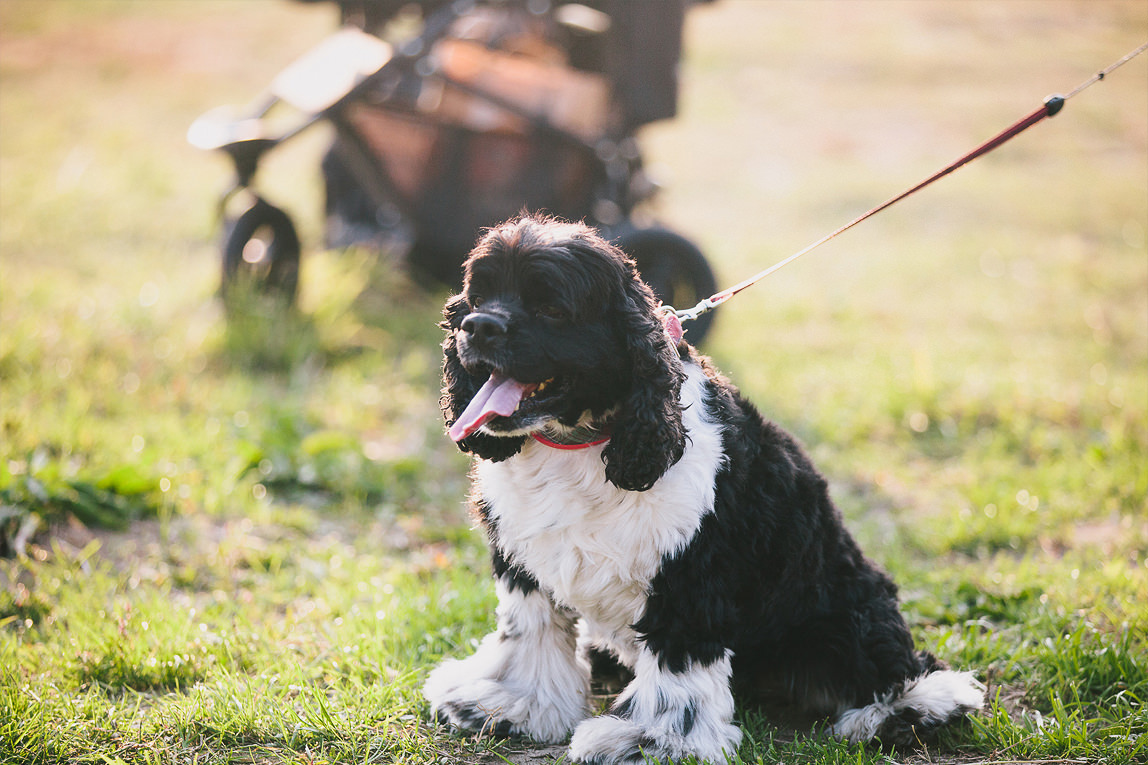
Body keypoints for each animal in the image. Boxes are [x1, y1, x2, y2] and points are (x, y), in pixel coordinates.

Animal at [427, 214, 982, 762]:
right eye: (477, 297)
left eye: (551, 307)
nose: (477, 327)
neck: (585, 440)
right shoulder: (524, 558)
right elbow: (530, 632)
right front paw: (508, 706)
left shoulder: (689, 575)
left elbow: (678, 669)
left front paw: (651, 742)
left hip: (844, 616)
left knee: (910, 676)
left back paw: (900, 714)